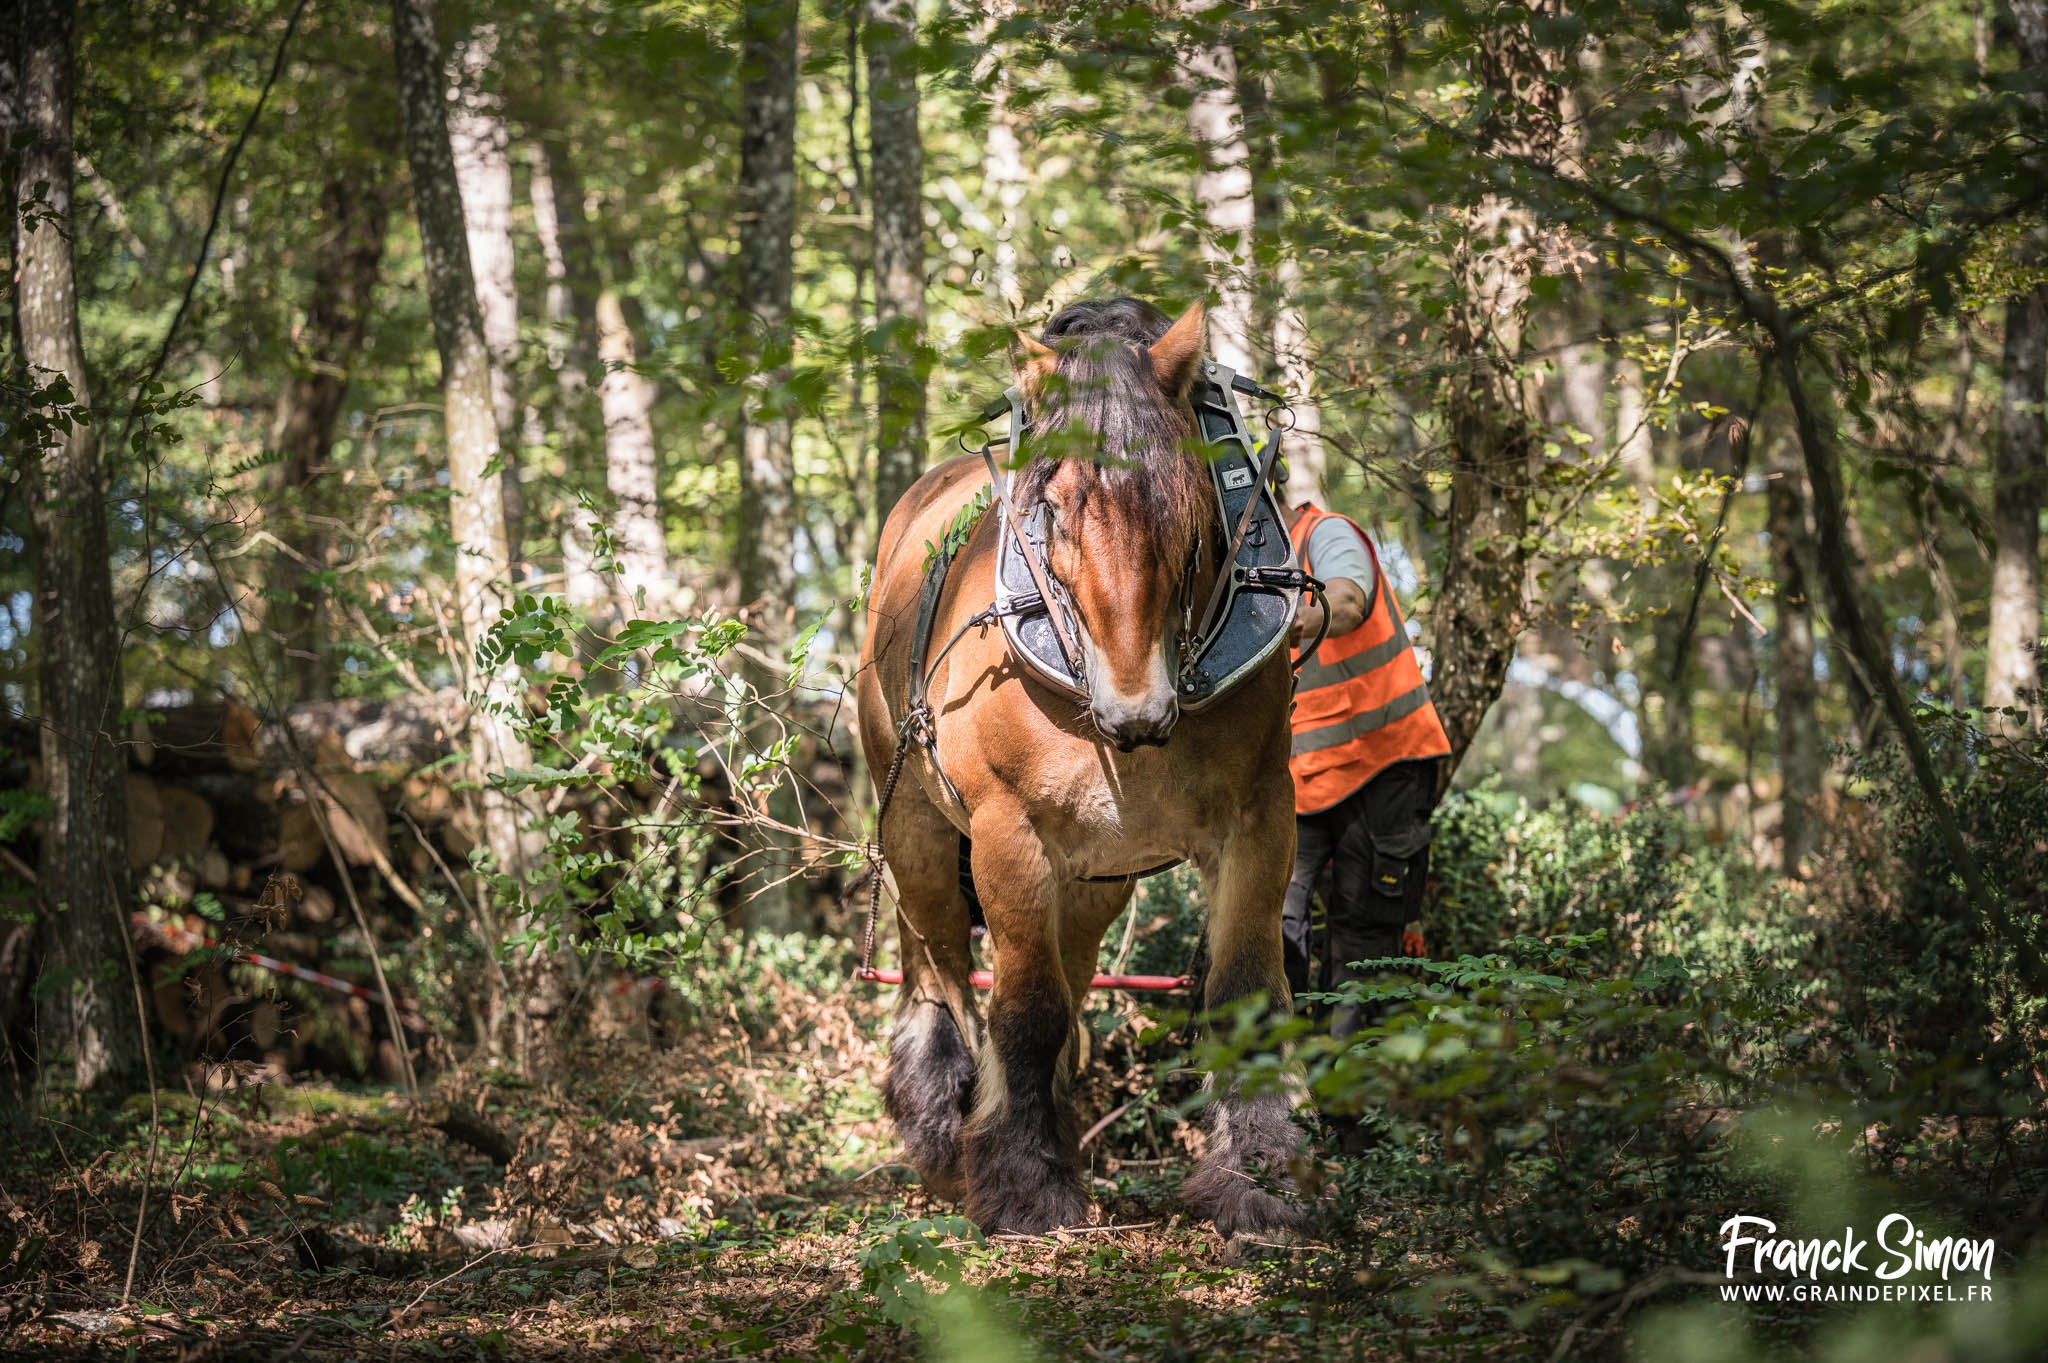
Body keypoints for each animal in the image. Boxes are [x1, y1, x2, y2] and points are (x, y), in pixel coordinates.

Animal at [856, 297, 1306, 1236]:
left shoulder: (1260, 816)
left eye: (1187, 500)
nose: (1137, 710)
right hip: (914, 822)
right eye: (1053, 508)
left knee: (1066, 968)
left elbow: (1243, 991)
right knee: (940, 966)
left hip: (1098, 874)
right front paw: (1026, 1184)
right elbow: (1025, 1007)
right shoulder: (1006, 832)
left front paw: (1259, 1178)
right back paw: (942, 1128)